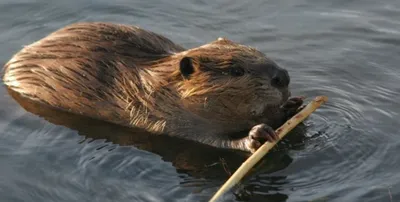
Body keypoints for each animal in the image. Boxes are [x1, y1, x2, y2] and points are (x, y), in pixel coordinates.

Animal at [1, 22, 304, 153]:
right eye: (236, 70)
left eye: (258, 51)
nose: (283, 77)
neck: (158, 83)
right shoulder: (164, 118)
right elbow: (210, 141)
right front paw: (257, 135)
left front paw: (293, 105)